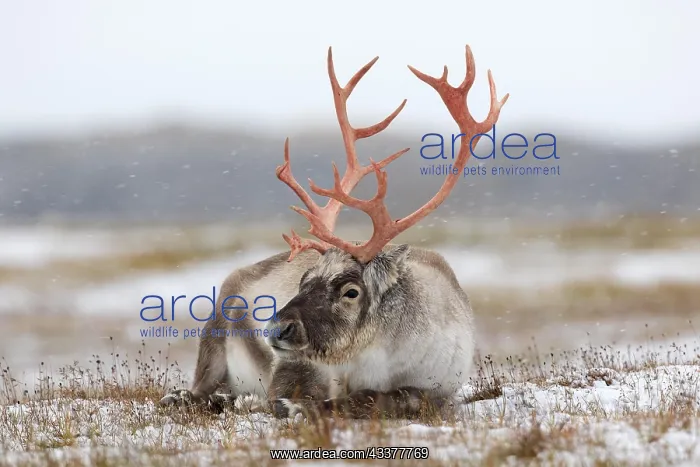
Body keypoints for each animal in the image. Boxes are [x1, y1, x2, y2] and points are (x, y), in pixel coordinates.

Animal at [160, 45, 508, 418]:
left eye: (351, 291)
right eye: (303, 280)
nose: (276, 328)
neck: (378, 356)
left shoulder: (439, 388)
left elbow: (385, 397)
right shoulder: (298, 364)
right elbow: (294, 391)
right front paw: (289, 404)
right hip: (215, 330)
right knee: (202, 388)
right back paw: (204, 397)